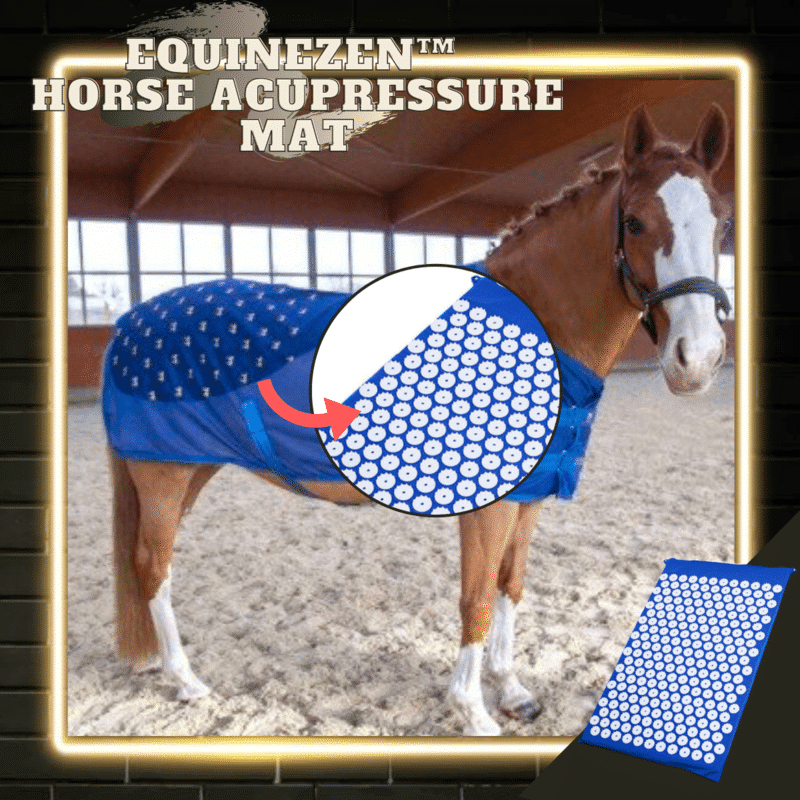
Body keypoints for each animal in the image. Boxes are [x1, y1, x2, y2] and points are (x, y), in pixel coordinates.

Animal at [103, 103, 731, 736]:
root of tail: (129, 322)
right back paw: (186, 681)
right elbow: (476, 598)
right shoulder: (490, 506)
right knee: (153, 567)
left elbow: (510, 586)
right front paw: (474, 712)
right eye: (634, 222)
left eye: (721, 225)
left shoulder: (530, 497)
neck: (530, 326)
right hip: (163, 474)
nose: (697, 359)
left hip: (187, 467)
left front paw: (512, 690)